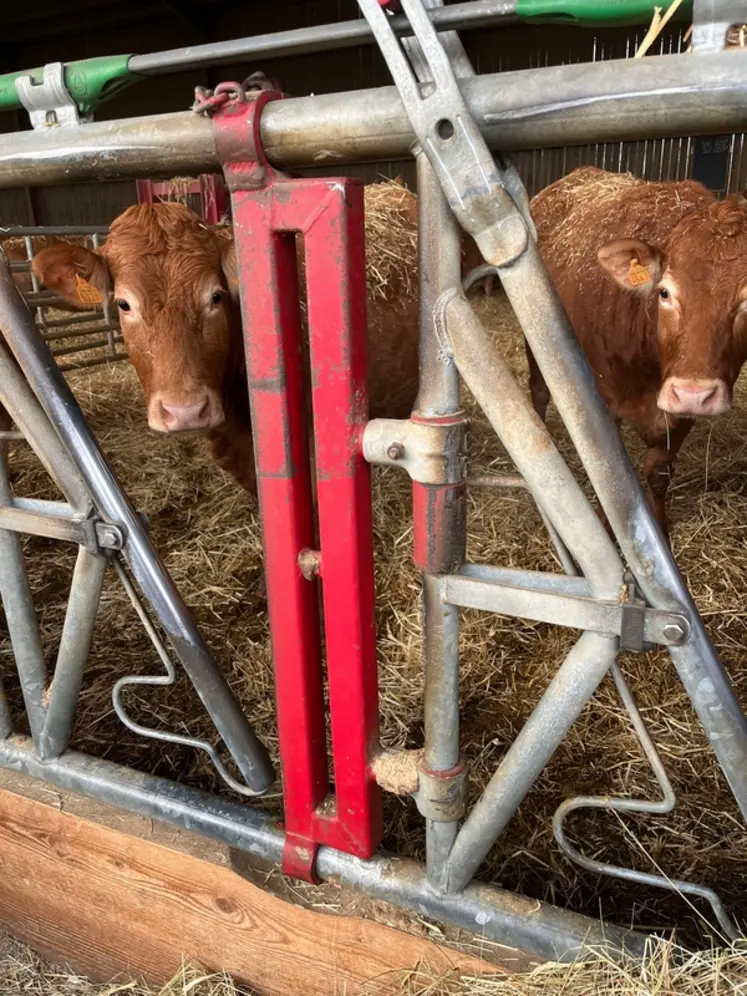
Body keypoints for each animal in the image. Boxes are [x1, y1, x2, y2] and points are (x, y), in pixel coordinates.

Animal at [528, 166, 747, 541]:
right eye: (664, 292)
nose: (694, 393)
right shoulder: (604, 401)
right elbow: (614, 474)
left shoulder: (680, 415)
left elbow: (658, 472)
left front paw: (658, 525)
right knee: (539, 390)